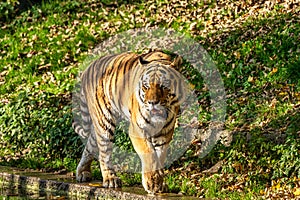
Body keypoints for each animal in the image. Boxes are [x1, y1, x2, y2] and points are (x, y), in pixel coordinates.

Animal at [72, 50, 188, 194]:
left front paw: (160, 183)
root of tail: (89, 66)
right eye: (146, 86)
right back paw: (110, 179)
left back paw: (83, 172)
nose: (152, 103)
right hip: (104, 121)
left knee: (90, 145)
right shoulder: (137, 129)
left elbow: (159, 156)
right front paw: (152, 183)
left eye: (163, 85)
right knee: (104, 151)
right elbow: (149, 154)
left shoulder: (165, 132)